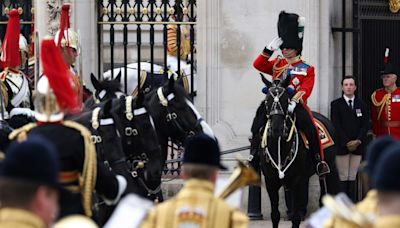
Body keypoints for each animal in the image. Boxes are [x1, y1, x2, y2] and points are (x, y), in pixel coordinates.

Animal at [252, 77, 340, 228]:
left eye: (286, 100)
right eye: (267, 100)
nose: (276, 129)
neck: (279, 147)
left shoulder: (298, 182)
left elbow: (296, 217)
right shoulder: (271, 183)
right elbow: (275, 215)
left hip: (329, 168)